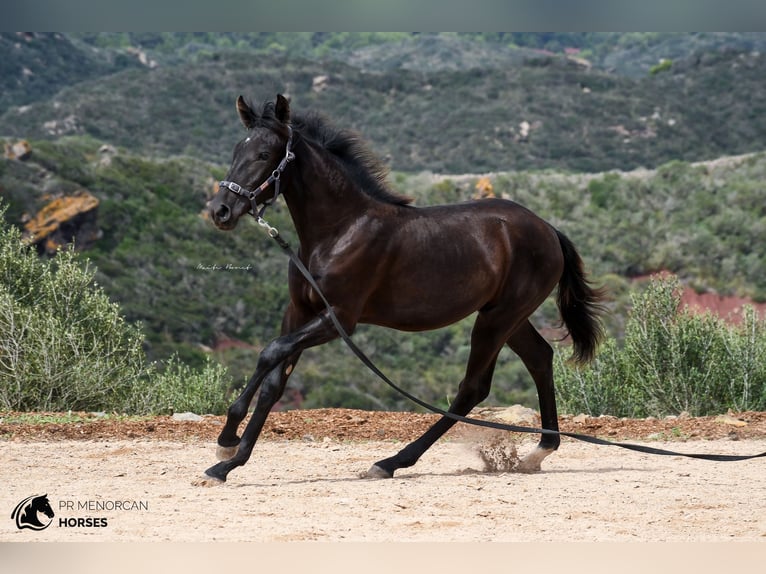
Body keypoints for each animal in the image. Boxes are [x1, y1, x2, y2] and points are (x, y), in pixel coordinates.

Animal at [201, 94, 608, 486]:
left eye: (264, 154)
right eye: (237, 150)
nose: (220, 211)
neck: (339, 230)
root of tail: (549, 230)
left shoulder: (338, 319)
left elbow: (270, 352)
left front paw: (226, 445)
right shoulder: (299, 311)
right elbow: (274, 380)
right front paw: (228, 460)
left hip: (498, 319)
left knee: (473, 387)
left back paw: (390, 462)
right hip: (508, 317)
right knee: (539, 358)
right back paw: (538, 452)